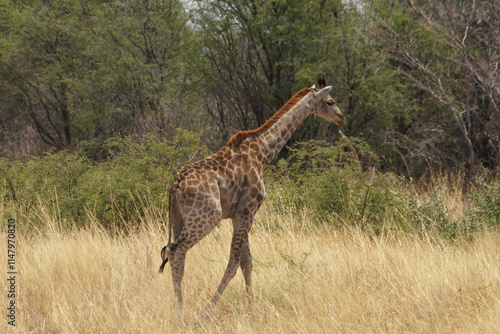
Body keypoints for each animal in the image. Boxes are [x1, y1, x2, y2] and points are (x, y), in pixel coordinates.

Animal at [159, 82, 344, 318]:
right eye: (330, 101)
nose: (341, 118)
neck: (263, 152)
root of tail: (175, 186)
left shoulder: (239, 215)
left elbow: (247, 262)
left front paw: (252, 308)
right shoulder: (247, 211)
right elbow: (233, 264)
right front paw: (206, 313)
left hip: (179, 220)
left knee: (175, 254)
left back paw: (179, 309)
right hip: (207, 218)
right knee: (175, 251)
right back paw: (182, 313)